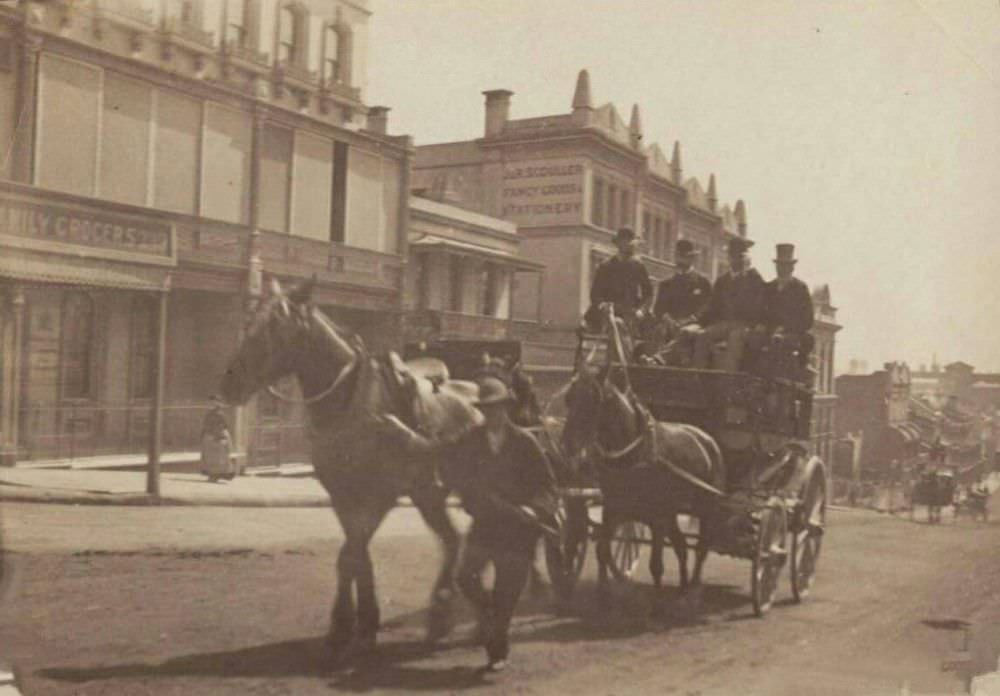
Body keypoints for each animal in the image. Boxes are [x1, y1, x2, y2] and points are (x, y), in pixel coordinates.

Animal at [219, 276, 476, 656]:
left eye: (277, 327)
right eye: (249, 321)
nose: (229, 383)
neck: (350, 404)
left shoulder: (380, 496)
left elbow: (350, 556)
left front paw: (352, 625)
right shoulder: (342, 496)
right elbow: (356, 557)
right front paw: (356, 624)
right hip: (428, 494)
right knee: (454, 539)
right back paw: (444, 612)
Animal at [560, 362, 724, 612]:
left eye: (595, 398)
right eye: (569, 397)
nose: (568, 445)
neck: (632, 450)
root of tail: (707, 439)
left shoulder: (657, 515)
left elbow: (656, 563)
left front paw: (655, 604)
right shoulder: (614, 507)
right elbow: (602, 549)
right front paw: (602, 596)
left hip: (705, 507)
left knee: (701, 547)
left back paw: (693, 591)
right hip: (671, 513)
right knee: (681, 546)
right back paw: (683, 589)